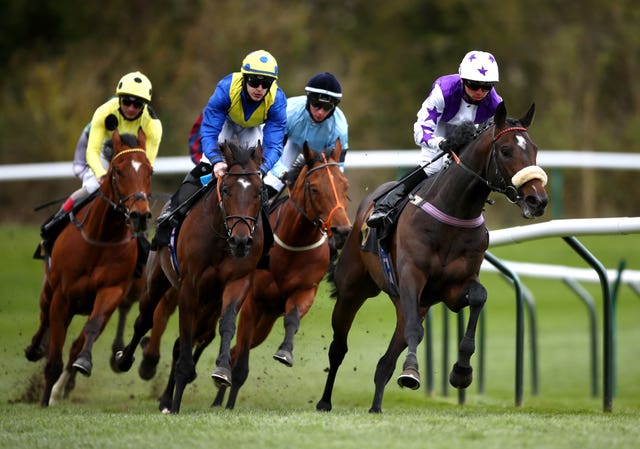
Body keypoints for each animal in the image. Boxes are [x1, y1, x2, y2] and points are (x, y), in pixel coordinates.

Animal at [23, 128, 154, 404]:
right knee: (44, 318)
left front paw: (83, 362)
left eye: (150, 171)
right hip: (48, 290)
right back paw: (35, 348)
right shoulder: (62, 297)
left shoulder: (111, 291)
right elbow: (54, 353)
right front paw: (44, 400)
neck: (100, 240)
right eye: (118, 170)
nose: (139, 215)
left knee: (76, 339)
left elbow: (88, 332)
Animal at [114, 140, 264, 412]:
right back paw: (124, 360)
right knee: (144, 320)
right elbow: (182, 339)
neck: (221, 238)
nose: (240, 241)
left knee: (191, 338)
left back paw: (165, 397)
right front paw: (176, 404)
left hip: (209, 306)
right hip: (157, 281)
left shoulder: (236, 283)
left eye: (259, 191)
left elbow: (227, 323)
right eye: (226, 189)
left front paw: (222, 371)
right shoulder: (189, 288)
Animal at [209, 138, 350, 408]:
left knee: (236, 350)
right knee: (236, 351)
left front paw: (285, 352)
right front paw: (229, 404)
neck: (293, 245)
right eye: (314, 189)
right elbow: (241, 366)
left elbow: (292, 319)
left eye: (345, 185)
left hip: (266, 322)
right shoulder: (253, 302)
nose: (342, 230)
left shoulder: (305, 291)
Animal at [316, 102, 552, 412]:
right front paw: (411, 372)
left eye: (534, 149)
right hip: (353, 289)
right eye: (505, 150)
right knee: (338, 348)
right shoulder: (411, 278)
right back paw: (324, 401)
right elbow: (416, 331)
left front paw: (462, 372)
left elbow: (479, 298)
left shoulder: (453, 288)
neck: (454, 211)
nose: (538, 200)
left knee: (385, 362)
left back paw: (376, 406)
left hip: (409, 304)